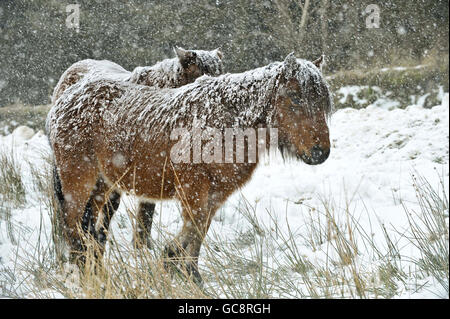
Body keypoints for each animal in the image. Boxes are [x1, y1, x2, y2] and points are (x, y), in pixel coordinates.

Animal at [47, 53, 332, 284]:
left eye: (323, 103)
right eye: (295, 97)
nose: (320, 152)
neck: (224, 123)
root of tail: (66, 98)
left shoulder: (215, 195)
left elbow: (197, 234)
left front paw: (181, 268)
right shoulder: (194, 192)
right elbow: (193, 230)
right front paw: (181, 269)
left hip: (101, 186)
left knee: (89, 230)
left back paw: (93, 270)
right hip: (78, 181)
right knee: (73, 228)